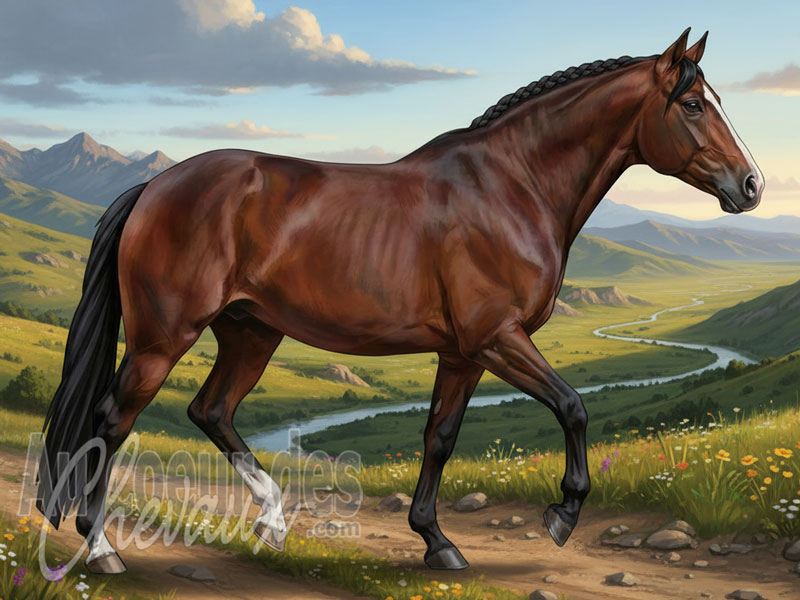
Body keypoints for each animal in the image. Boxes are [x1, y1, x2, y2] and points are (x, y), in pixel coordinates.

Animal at [37, 28, 763, 573]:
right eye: (693, 104)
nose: (751, 185)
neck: (511, 186)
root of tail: (154, 187)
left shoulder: (464, 353)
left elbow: (439, 437)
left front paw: (437, 542)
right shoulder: (498, 339)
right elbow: (573, 407)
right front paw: (562, 515)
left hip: (252, 333)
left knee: (210, 410)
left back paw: (273, 520)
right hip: (163, 339)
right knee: (112, 422)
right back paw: (100, 548)